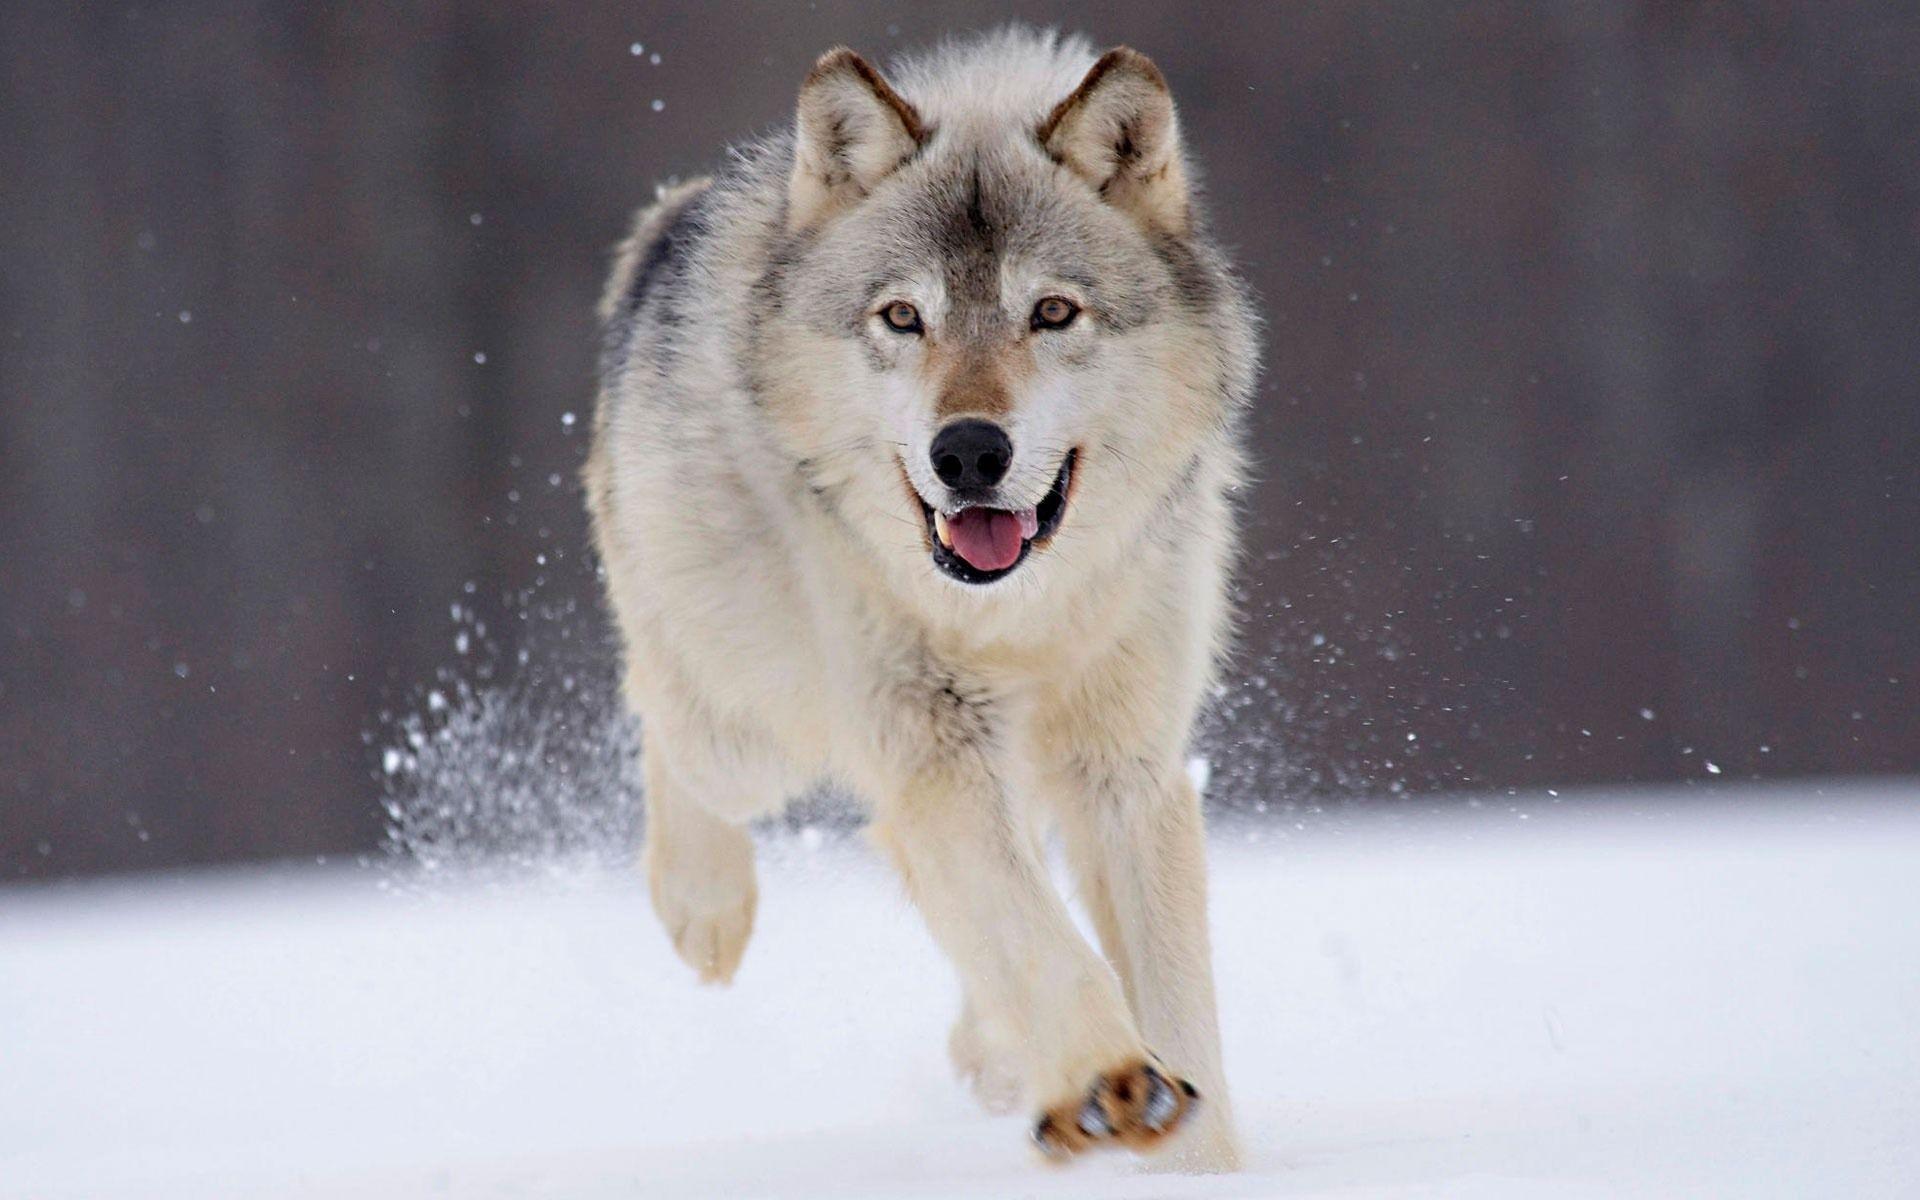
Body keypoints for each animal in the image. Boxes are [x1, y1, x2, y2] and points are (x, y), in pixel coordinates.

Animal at [584, 27, 1257, 1171]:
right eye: (903, 317)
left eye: (1052, 313)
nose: (969, 452)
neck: (1017, 618)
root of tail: (671, 220)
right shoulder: (932, 747)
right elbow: (1041, 941)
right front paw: (1108, 1081)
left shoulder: (1126, 770)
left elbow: (1173, 1004)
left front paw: (1190, 1156)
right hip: (750, 726)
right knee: (665, 719)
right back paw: (704, 909)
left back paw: (995, 1056)